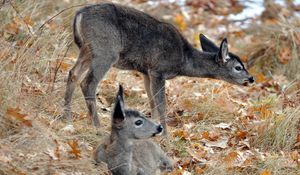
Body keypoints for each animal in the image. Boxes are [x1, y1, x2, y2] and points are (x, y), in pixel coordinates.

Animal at [62, 2, 253, 134]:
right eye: (238, 67)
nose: (251, 78)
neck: (183, 59)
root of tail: (79, 14)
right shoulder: (158, 70)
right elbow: (162, 105)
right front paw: (166, 137)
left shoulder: (146, 72)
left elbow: (152, 102)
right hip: (105, 51)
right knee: (88, 83)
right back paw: (97, 127)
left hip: (87, 49)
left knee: (73, 74)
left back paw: (67, 118)